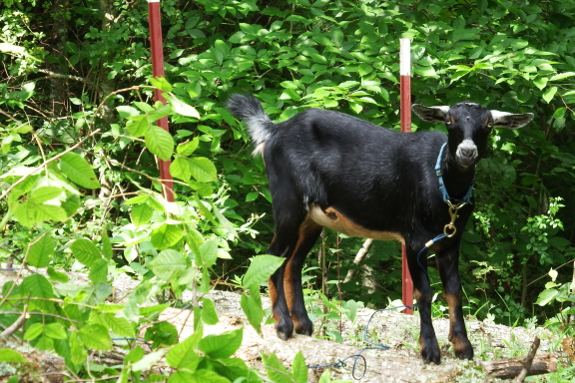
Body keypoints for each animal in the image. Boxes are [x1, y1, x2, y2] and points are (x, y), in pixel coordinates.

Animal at [227, 94, 532, 364]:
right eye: (450, 121)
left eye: (488, 124)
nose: (466, 152)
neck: (446, 189)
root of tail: (275, 130)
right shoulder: (414, 240)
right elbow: (423, 292)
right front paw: (429, 350)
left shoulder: (450, 242)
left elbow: (454, 291)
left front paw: (463, 347)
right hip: (288, 202)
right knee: (274, 257)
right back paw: (283, 325)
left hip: (313, 217)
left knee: (293, 262)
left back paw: (303, 324)